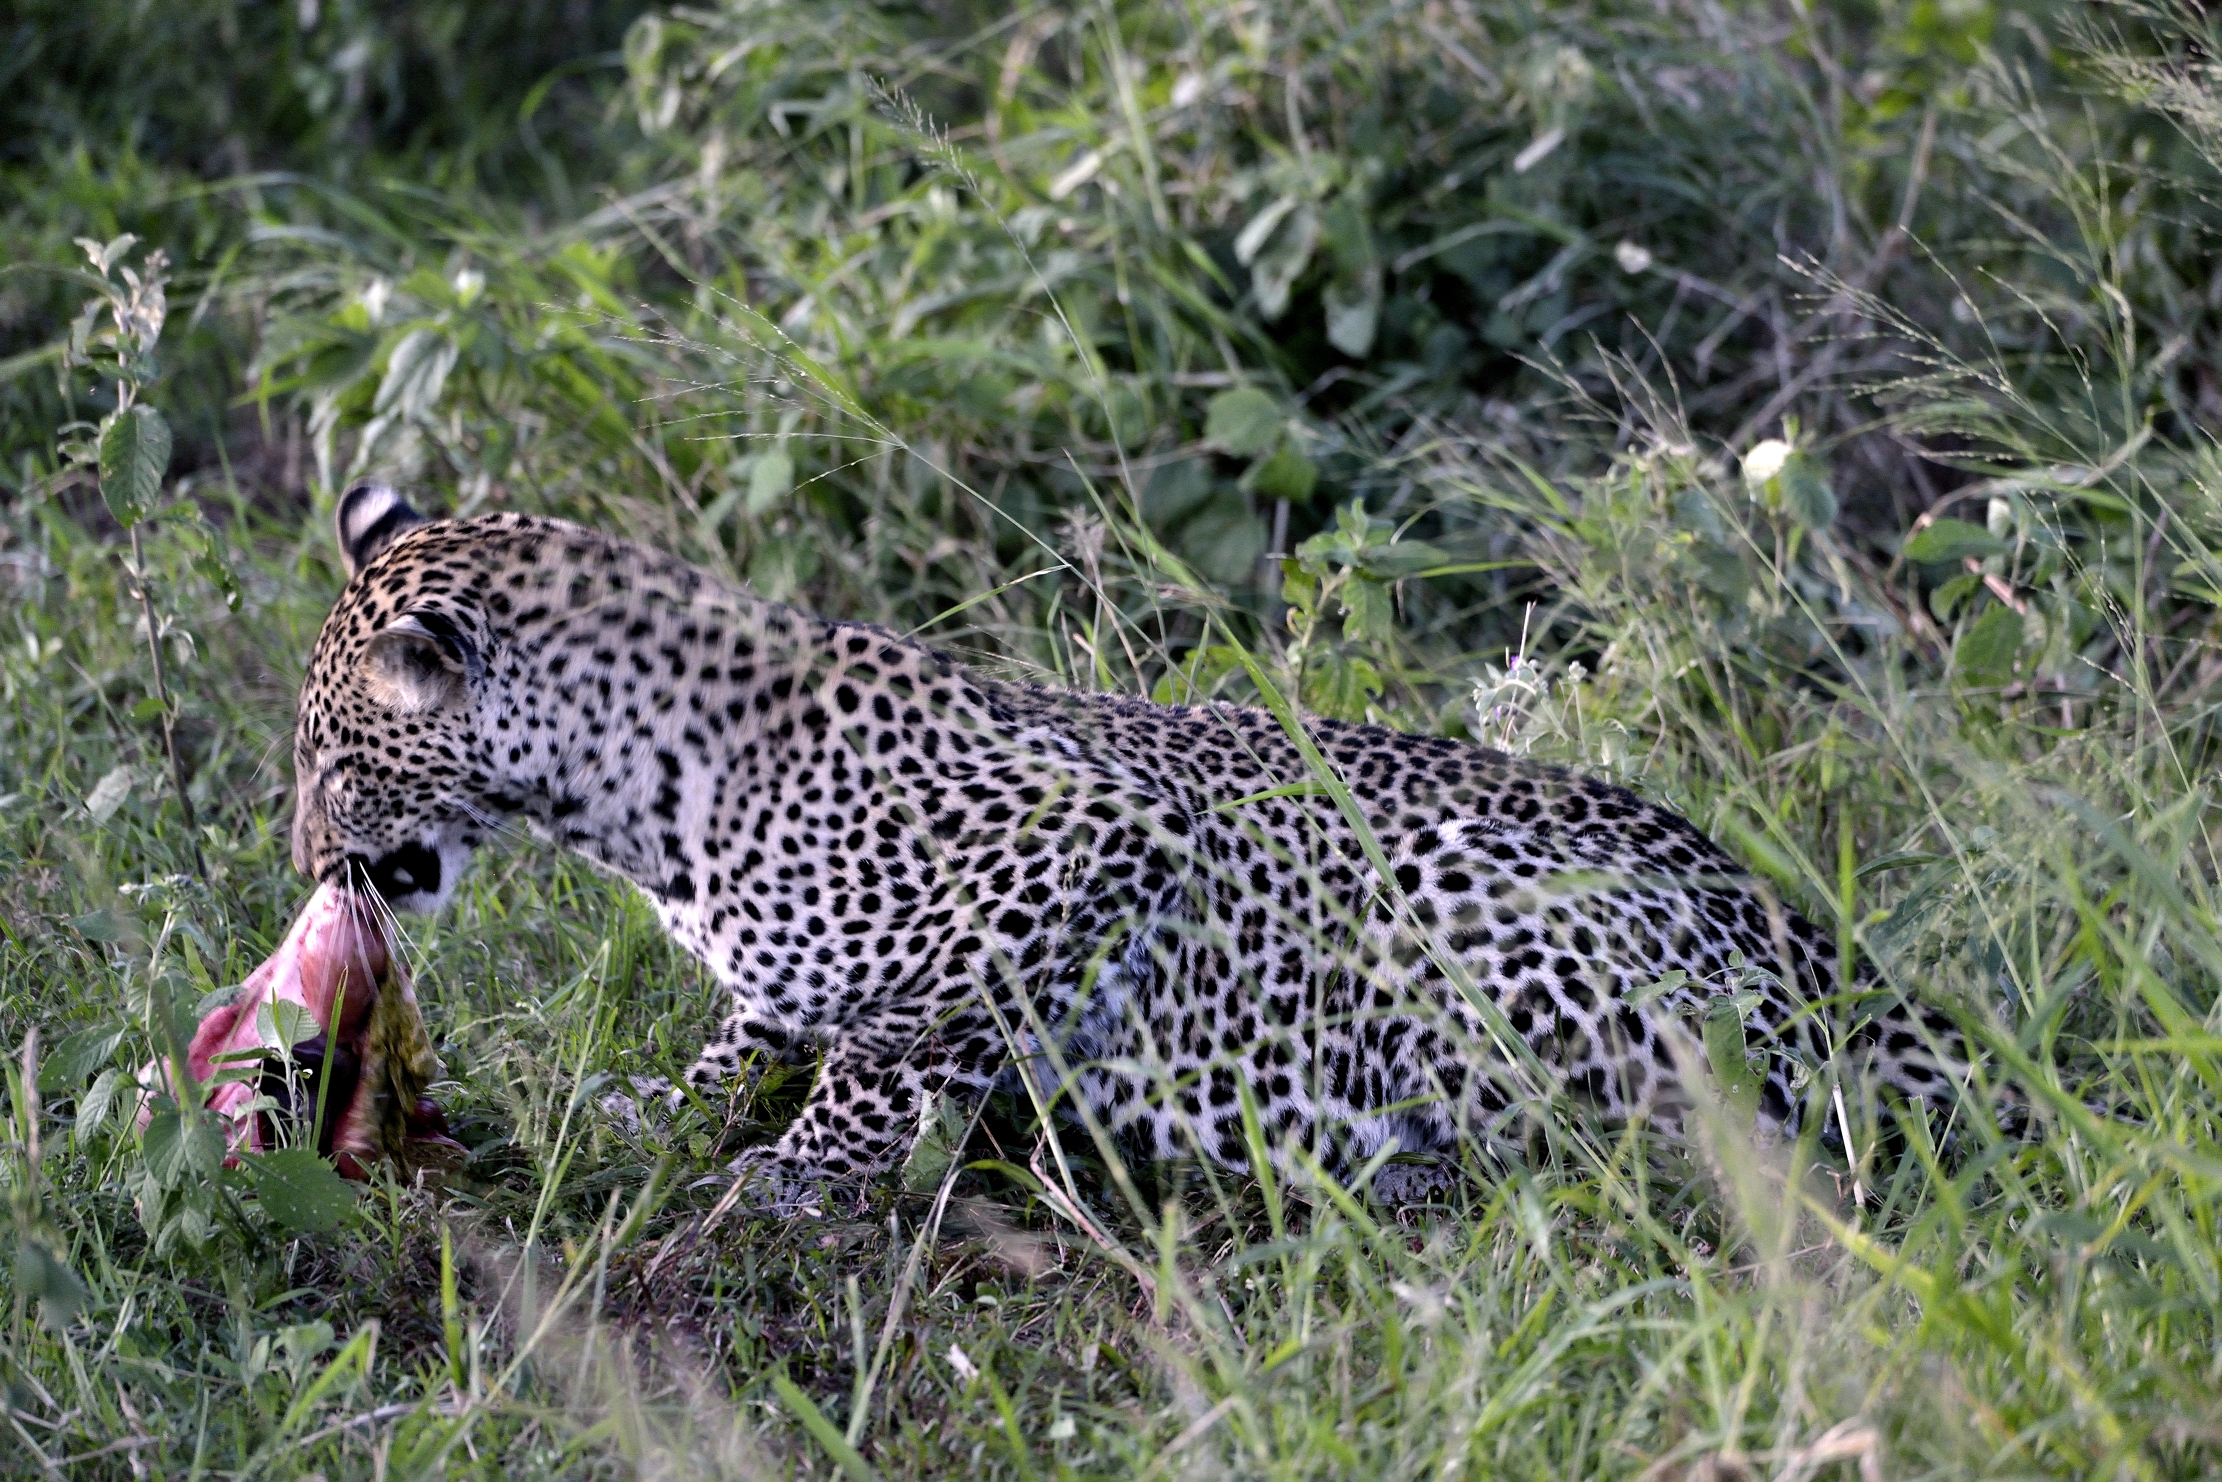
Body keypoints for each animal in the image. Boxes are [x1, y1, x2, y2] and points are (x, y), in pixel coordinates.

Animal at [288, 482, 1967, 1207]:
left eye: (327, 763)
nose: (305, 858)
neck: (635, 806)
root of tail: (1817, 950)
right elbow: (758, 1024)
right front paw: (669, 1105)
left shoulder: (1091, 841)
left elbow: (894, 1041)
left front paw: (798, 1172)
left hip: (1488, 910)